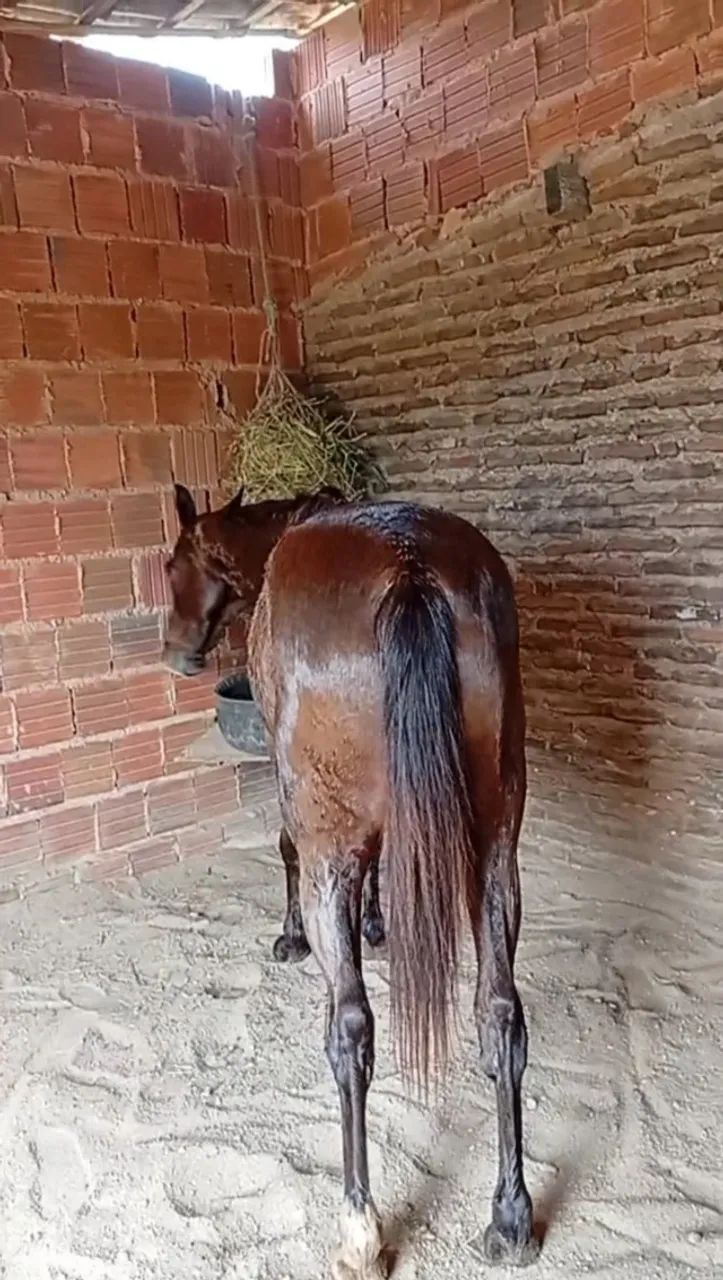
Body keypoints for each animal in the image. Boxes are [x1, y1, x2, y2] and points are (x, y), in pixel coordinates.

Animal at [164, 483, 539, 1280]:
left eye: (172, 564)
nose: (177, 653)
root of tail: (408, 570)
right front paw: (376, 921)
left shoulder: (303, 816)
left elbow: (284, 848)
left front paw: (291, 937)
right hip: (496, 850)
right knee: (499, 1013)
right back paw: (510, 1216)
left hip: (333, 848)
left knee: (351, 1030)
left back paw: (358, 1226)